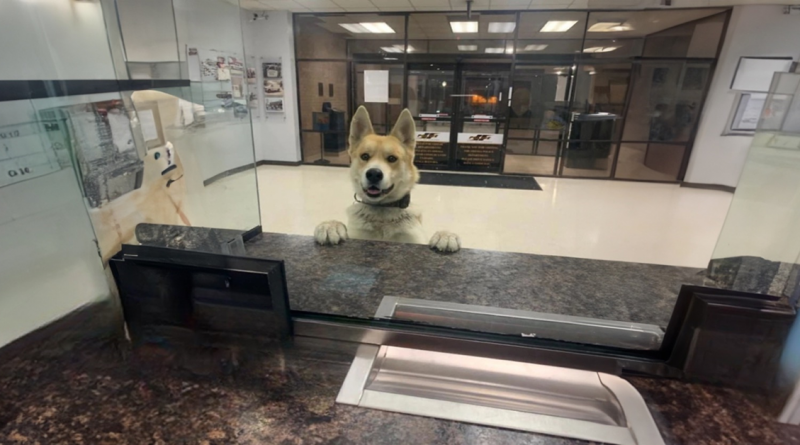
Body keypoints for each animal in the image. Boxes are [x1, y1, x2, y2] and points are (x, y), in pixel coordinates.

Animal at [314, 103, 462, 250]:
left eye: (392, 158)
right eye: (365, 156)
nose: (374, 174)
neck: (382, 210)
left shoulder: (416, 240)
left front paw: (445, 235)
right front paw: (331, 225)